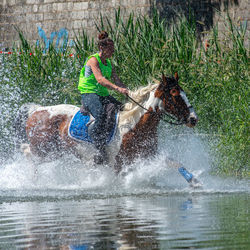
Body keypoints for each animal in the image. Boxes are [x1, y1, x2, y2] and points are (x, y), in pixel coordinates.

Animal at [14, 73, 198, 182]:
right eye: (174, 95)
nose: (193, 119)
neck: (132, 127)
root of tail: (36, 110)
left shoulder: (150, 156)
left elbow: (177, 164)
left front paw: (195, 182)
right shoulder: (118, 165)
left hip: (57, 152)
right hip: (44, 150)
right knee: (27, 152)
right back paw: (32, 181)